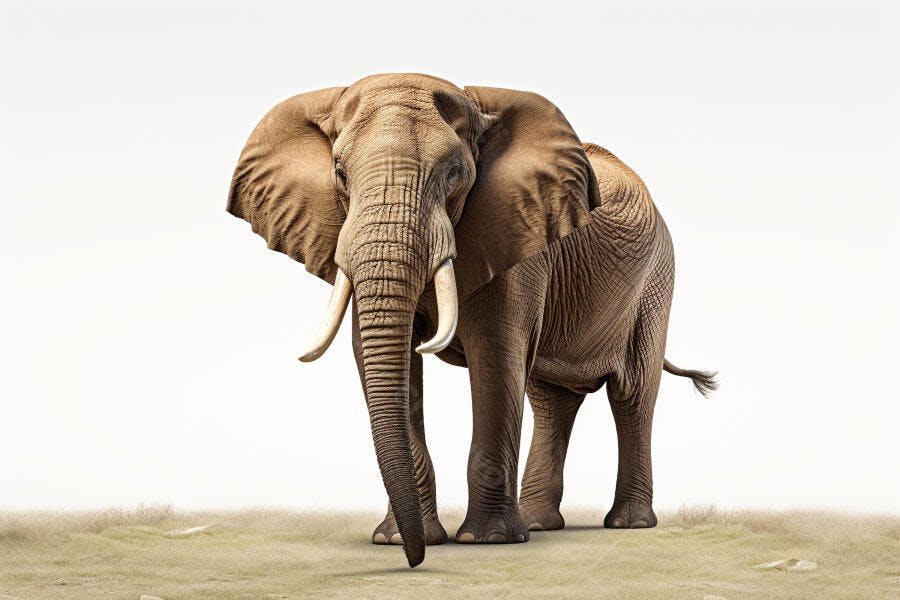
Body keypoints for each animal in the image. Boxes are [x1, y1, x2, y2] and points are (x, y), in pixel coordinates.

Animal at [226, 73, 716, 567]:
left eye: (455, 173)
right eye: (340, 172)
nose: (415, 562)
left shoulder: (517, 235)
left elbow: (496, 358)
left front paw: (489, 540)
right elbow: (382, 360)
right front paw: (396, 539)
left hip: (656, 281)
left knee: (631, 393)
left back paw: (627, 523)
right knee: (551, 398)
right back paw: (539, 523)